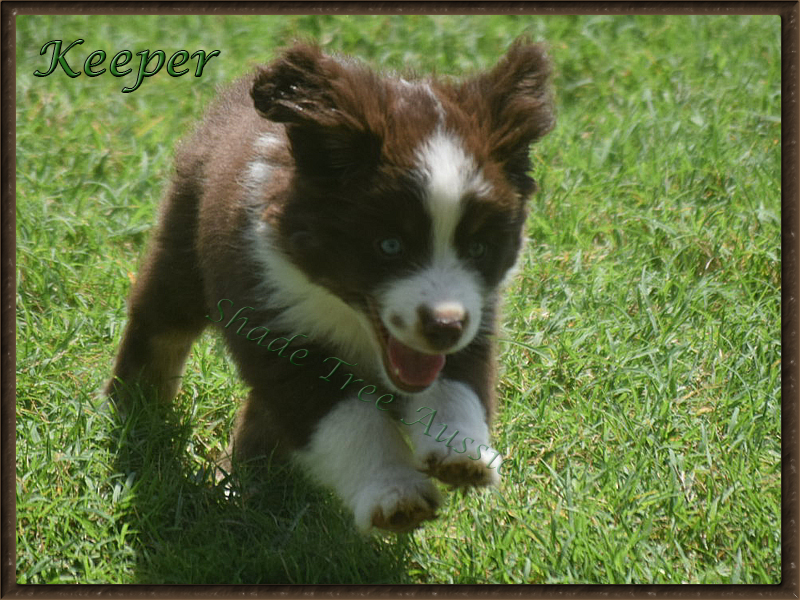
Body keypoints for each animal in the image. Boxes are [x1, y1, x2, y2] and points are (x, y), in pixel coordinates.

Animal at [108, 39, 556, 532]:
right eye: (389, 245)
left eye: (478, 248)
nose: (444, 327)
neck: (350, 317)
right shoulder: (276, 321)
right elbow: (350, 420)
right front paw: (394, 493)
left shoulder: (477, 313)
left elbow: (458, 383)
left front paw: (463, 453)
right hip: (186, 238)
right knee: (160, 322)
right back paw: (138, 406)